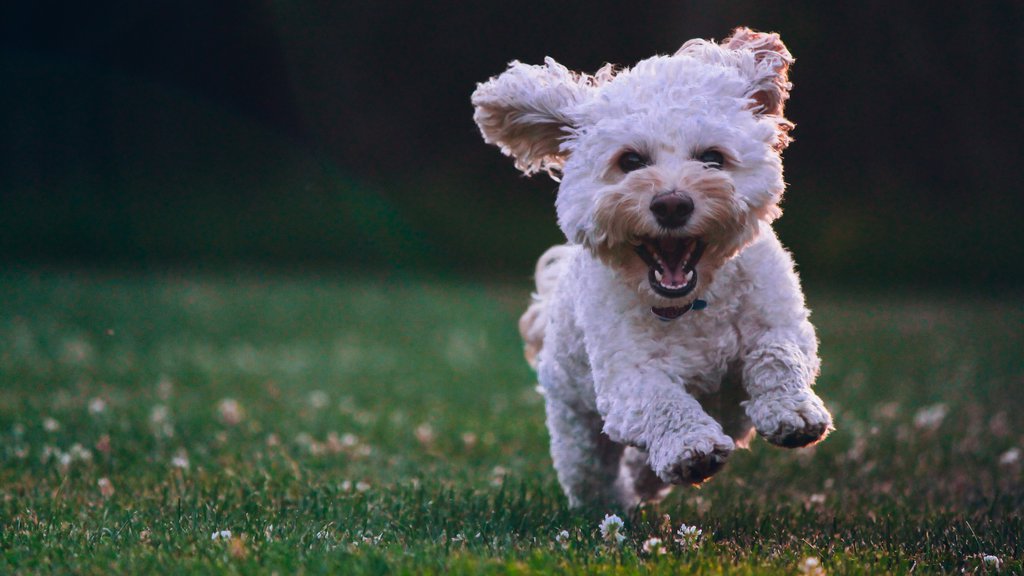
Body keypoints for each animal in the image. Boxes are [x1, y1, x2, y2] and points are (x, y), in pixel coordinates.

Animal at [471, 28, 831, 506]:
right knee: (590, 472)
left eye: (712, 158)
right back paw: (615, 501)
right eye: (630, 161)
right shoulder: (627, 376)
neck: (692, 304)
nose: (672, 204)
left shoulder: (780, 320)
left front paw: (792, 411)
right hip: (575, 423)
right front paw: (690, 447)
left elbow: (778, 354)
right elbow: (662, 401)